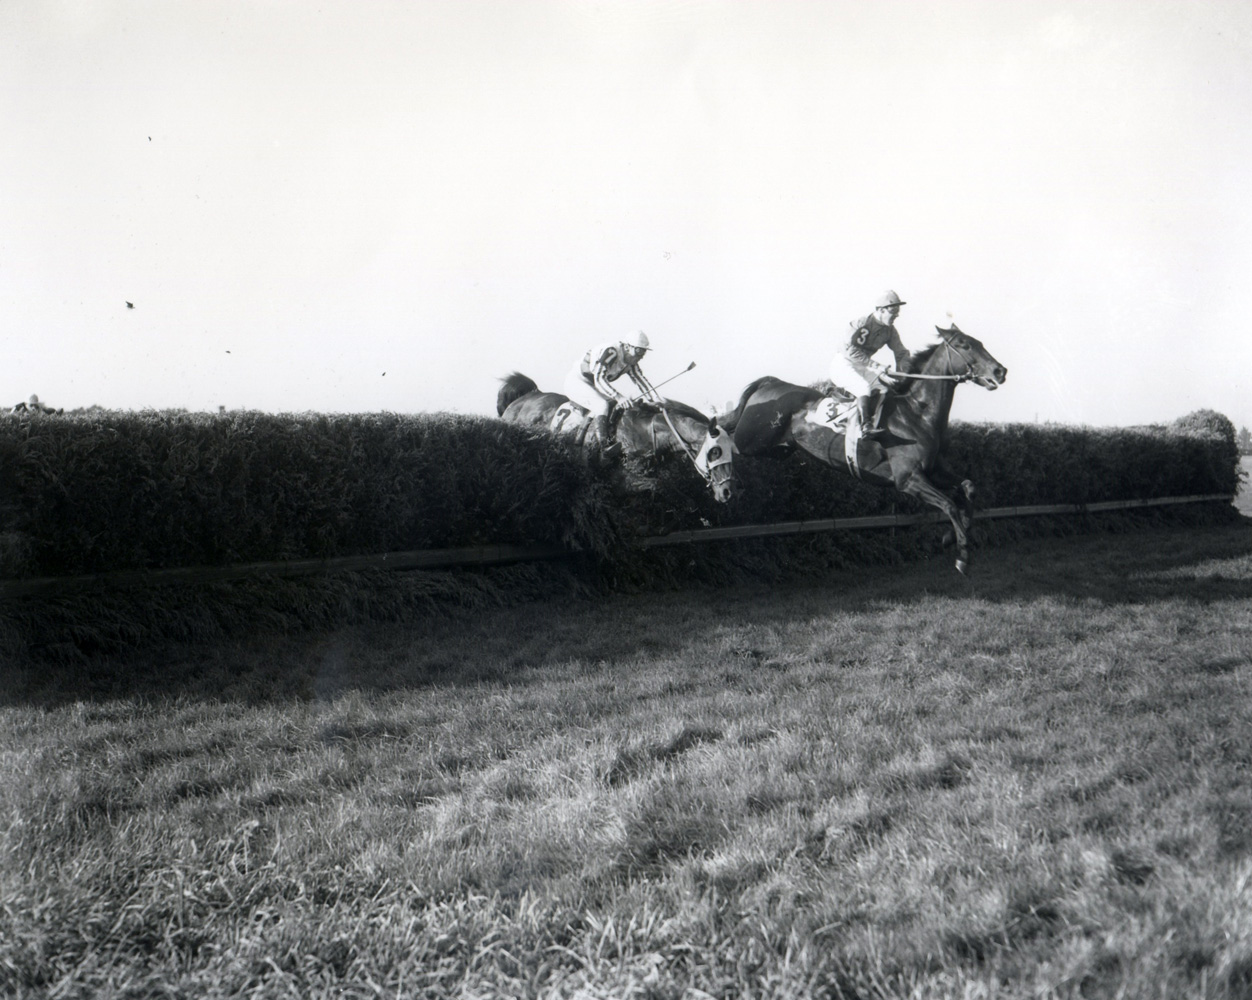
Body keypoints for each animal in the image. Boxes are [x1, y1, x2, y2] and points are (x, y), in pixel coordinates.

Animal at [495, 370, 731, 505]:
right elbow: (661, 487)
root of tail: (521, 399)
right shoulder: (621, 480)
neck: (645, 430)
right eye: (714, 452)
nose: (727, 491)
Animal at [721, 320, 1001, 570]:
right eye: (964, 345)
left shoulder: (934, 471)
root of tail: (771, 382)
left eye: (980, 342)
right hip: (751, 439)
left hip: (779, 450)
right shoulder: (908, 479)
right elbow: (950, 504)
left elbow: (968, 488)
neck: (917, 412)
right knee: (725, 438)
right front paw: (962, 555)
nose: (1000, 371)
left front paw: (950, 537)